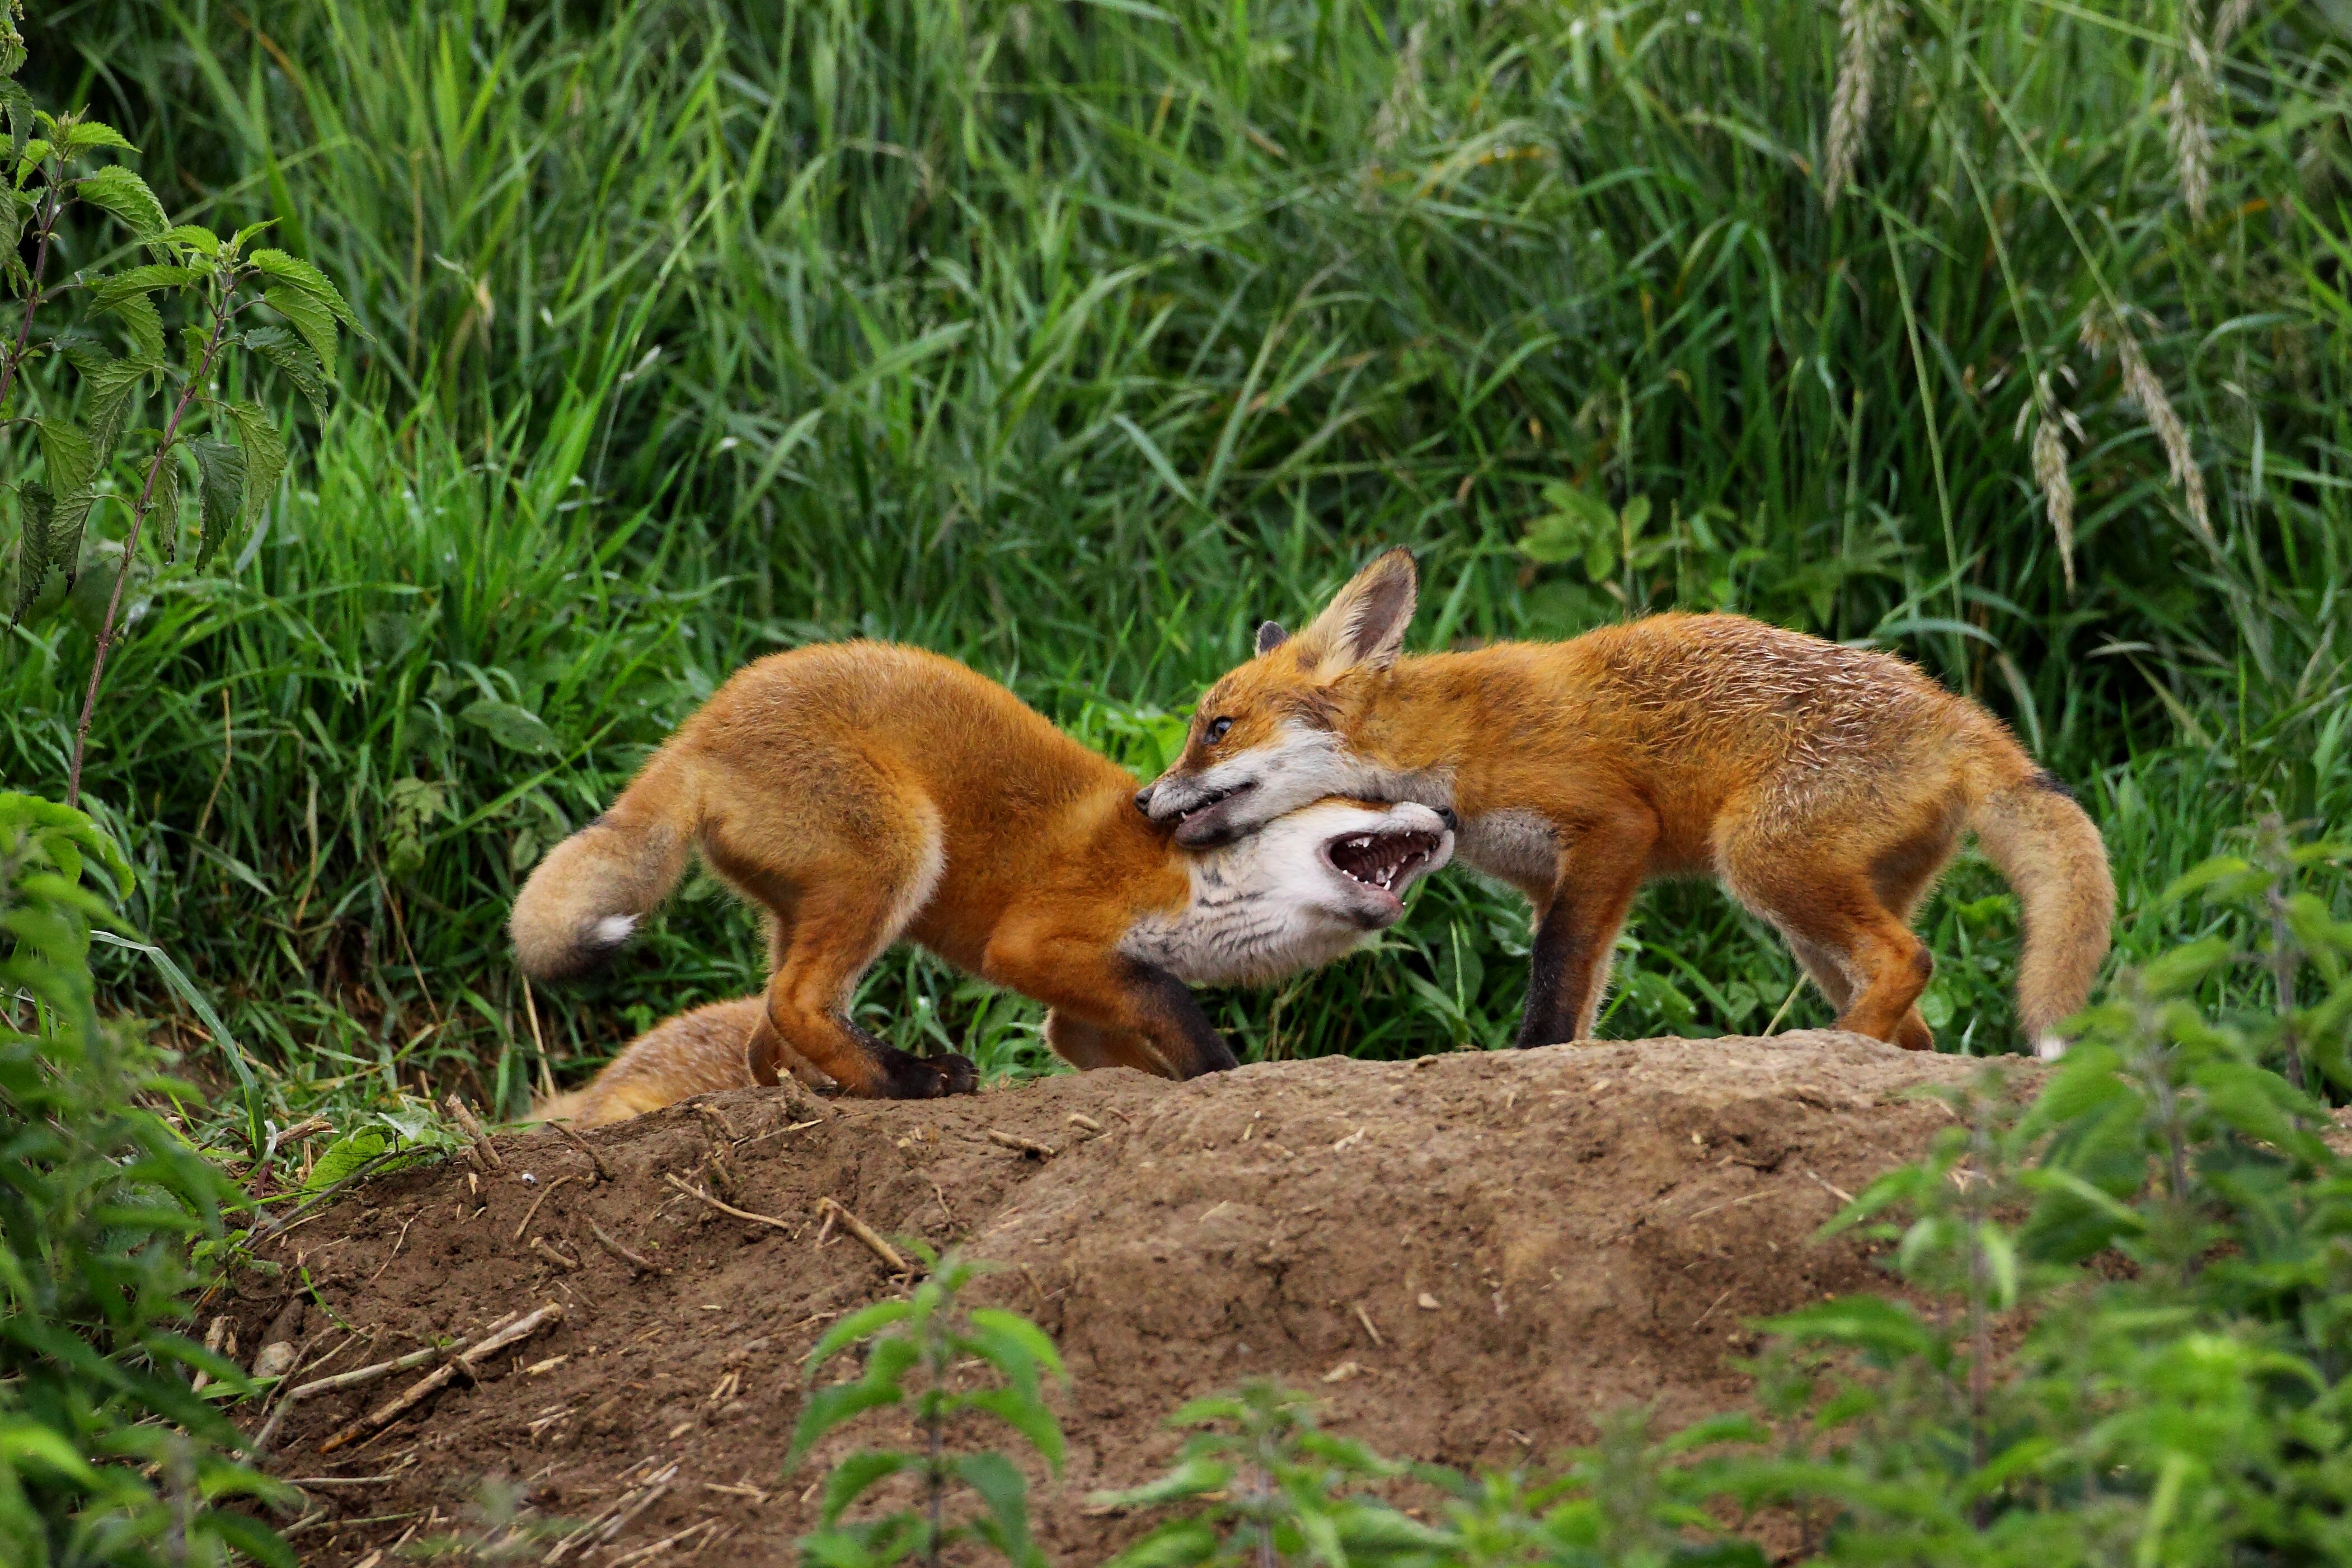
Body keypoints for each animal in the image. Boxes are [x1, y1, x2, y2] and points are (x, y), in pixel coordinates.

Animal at [1138, 550, 2116, 1053]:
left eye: (1214, 728)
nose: (1145, 797)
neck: (1447, 737)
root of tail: (1959, 714)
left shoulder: (1610, 830)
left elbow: (1550, 980)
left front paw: (1529, 1059)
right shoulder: (1556, 879)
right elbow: (1578, 992)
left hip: (1760, 861)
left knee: (1907, 960)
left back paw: (1822, 1044)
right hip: (1809, 920)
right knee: (1912, 1018)